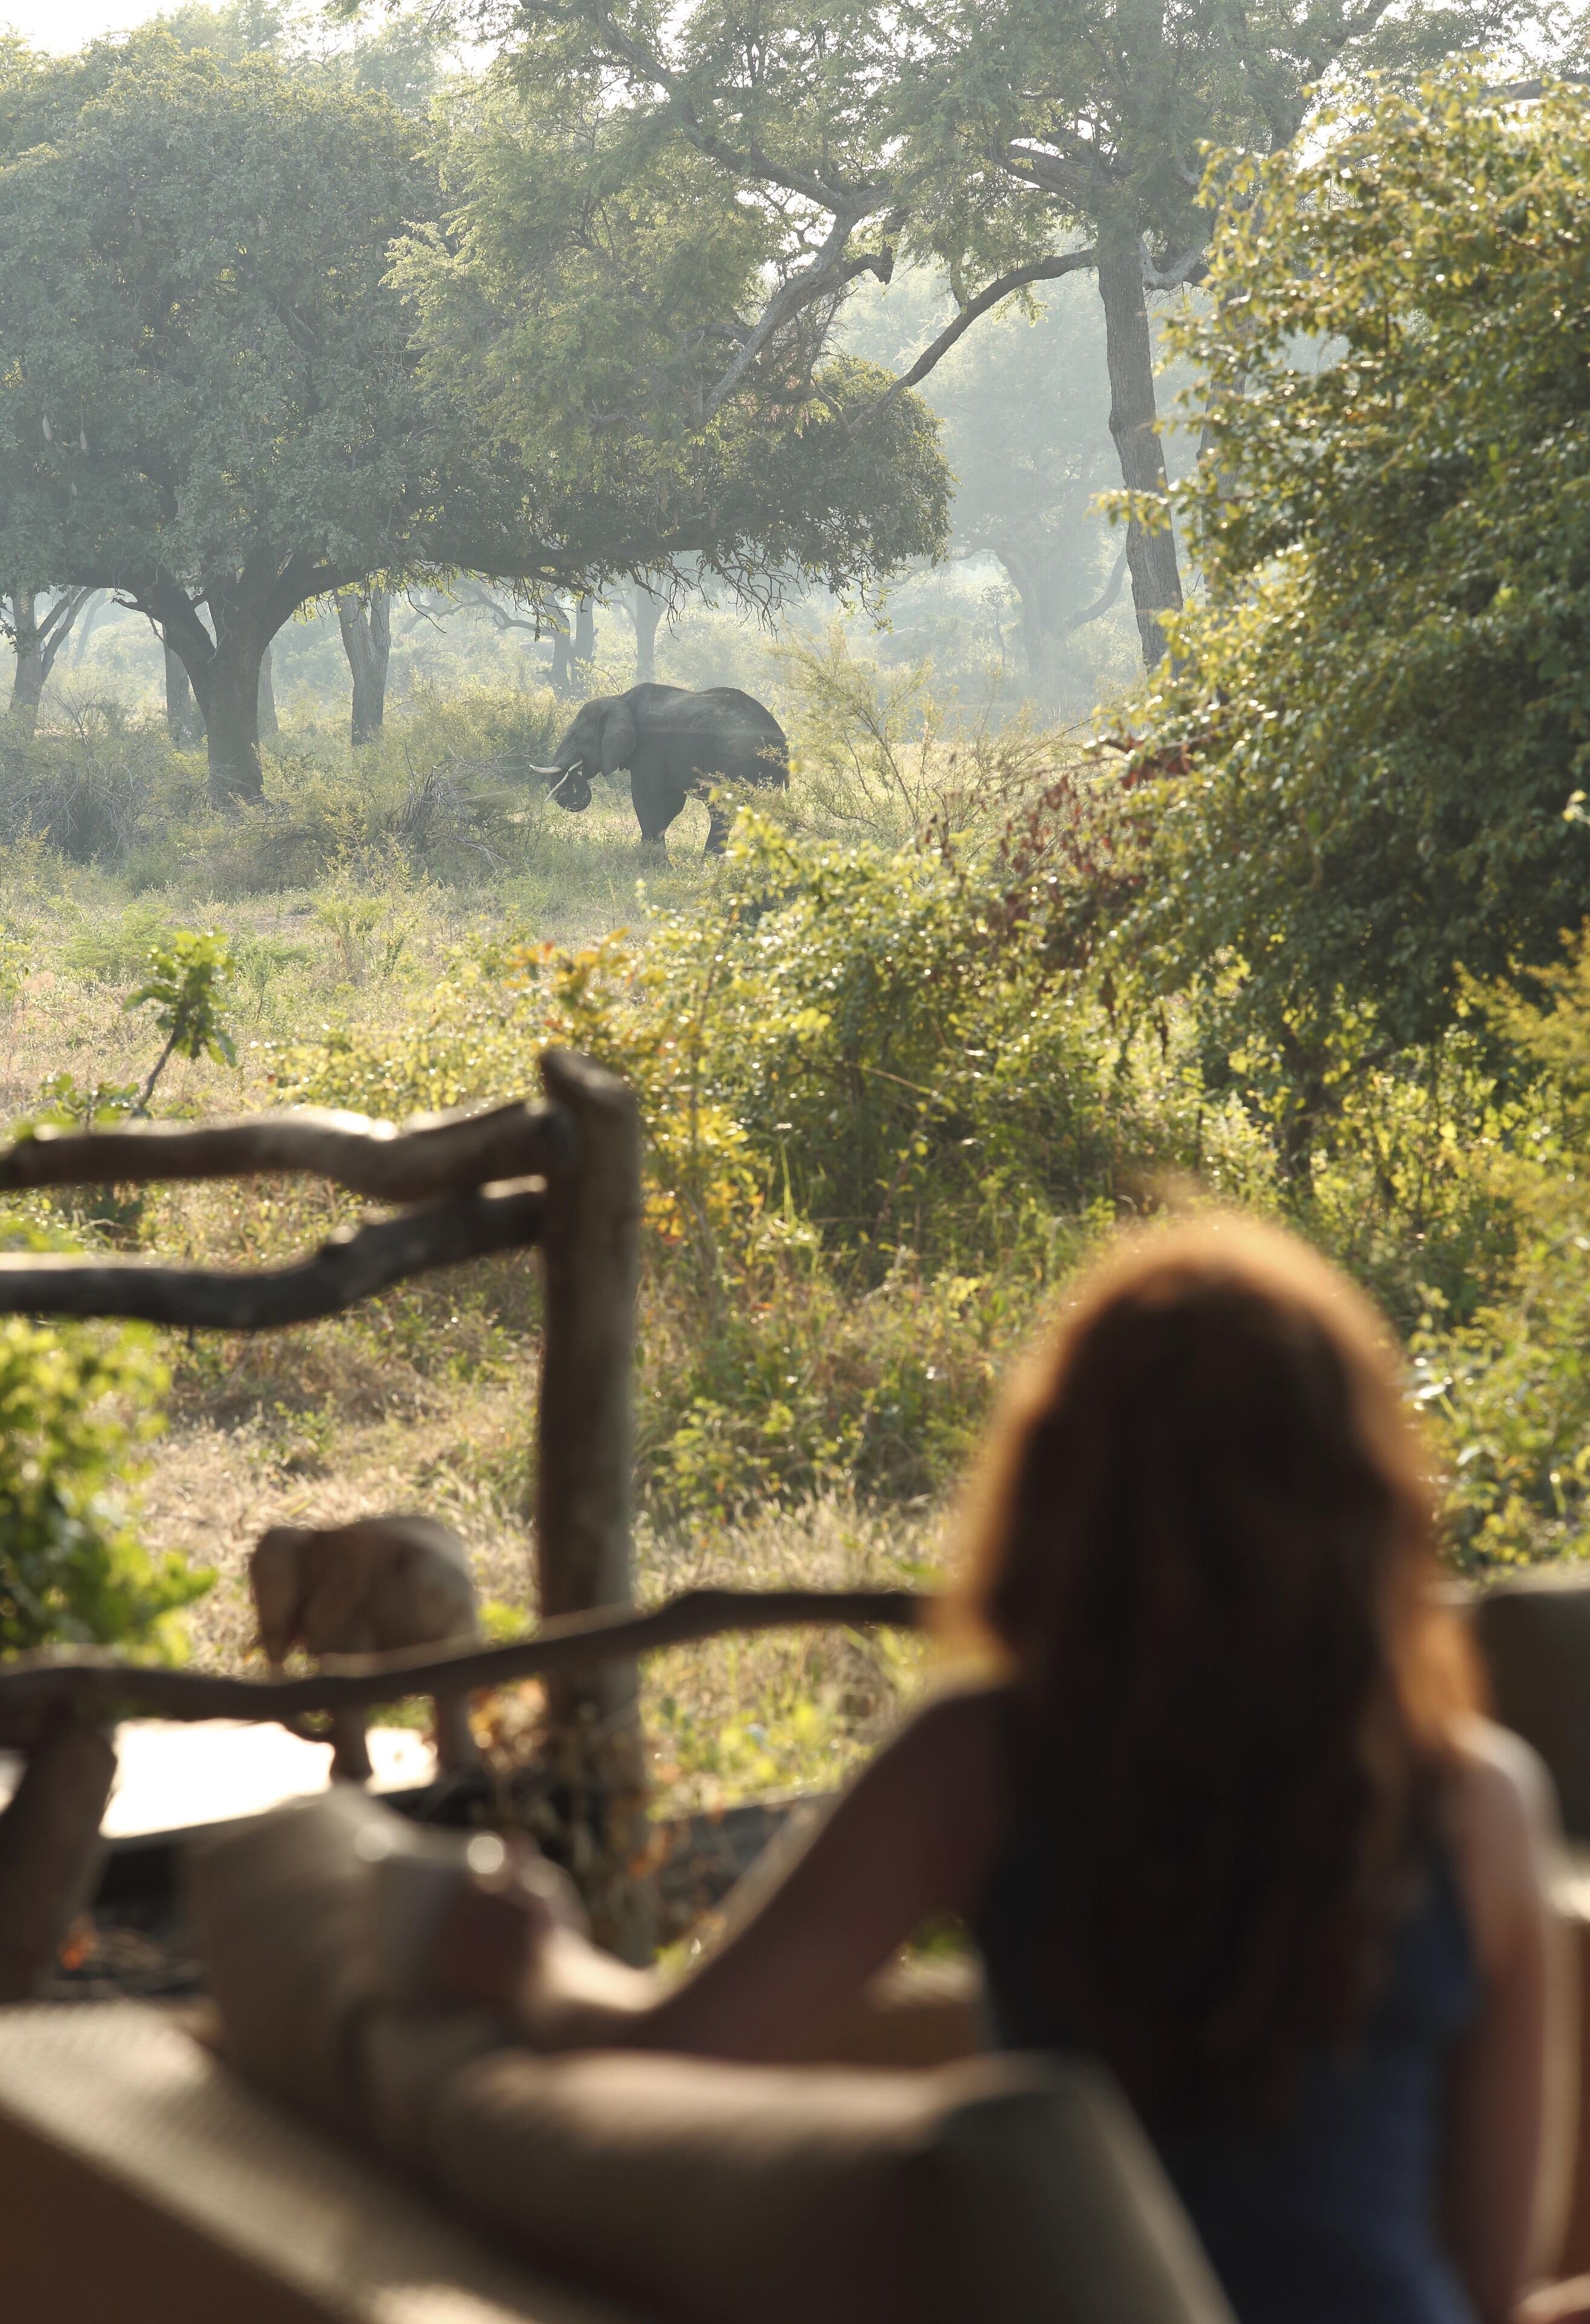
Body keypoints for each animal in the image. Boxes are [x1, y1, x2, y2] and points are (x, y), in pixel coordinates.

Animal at [249, 1514, 482, 1784]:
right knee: (451, 1689)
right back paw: (456, 1770)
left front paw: (346, 1776)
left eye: (276, 1589)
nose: (326, 1733)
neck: (312, 1538)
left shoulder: (345, 1603)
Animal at [530, 681, 790, 853]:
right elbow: (671, 804)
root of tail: (782, 743)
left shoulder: (650, 747)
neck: (620, 699)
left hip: (737, 762)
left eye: (576, 737)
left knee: (721, 811)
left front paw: (650, 862)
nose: (574, 770)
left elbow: (646, 797)